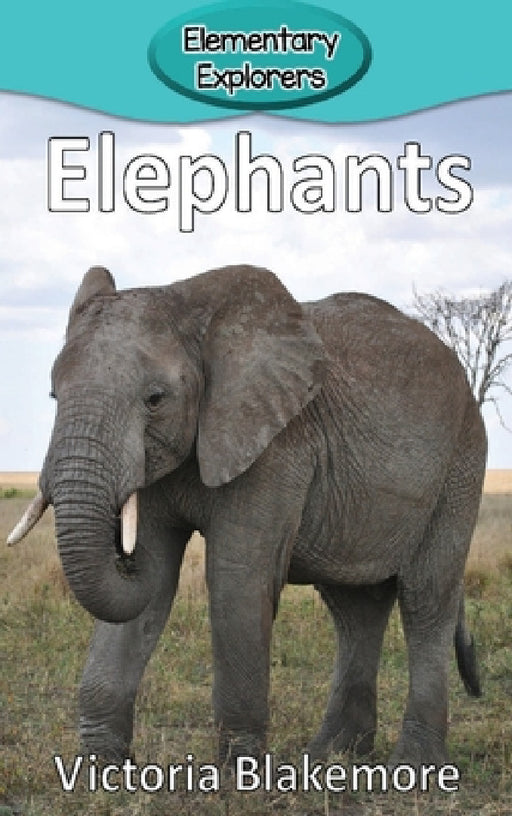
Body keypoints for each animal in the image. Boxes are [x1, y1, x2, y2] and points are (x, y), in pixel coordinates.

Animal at [8, 263, 485, 768]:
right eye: (54, 396)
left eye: (155, 399)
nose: (120, 550)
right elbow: (154, 581)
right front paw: (99, 768)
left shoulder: (276, 445)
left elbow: (235, 579)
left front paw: (238, 772)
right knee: (355, 609)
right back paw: (331, 757)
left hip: (461, 462)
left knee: (425, 598)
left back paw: (413, 766)